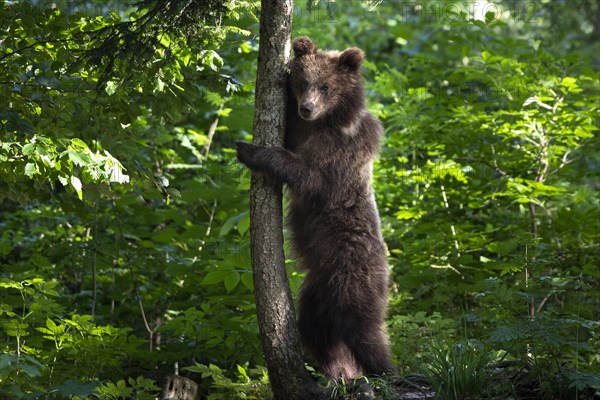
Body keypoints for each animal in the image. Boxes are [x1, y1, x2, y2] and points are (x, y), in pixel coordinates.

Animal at [237, 37, 396, 382]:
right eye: (303, 82)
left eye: (326, 86)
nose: (306, 107)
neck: (326, 122)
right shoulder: (301, 130)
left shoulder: (342, 151)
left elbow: (312, 177)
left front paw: (249, 149)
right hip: (317, 292)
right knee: (316, 332)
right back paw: (341, 372)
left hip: (356, 274)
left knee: (364, 329)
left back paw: (387, 370)